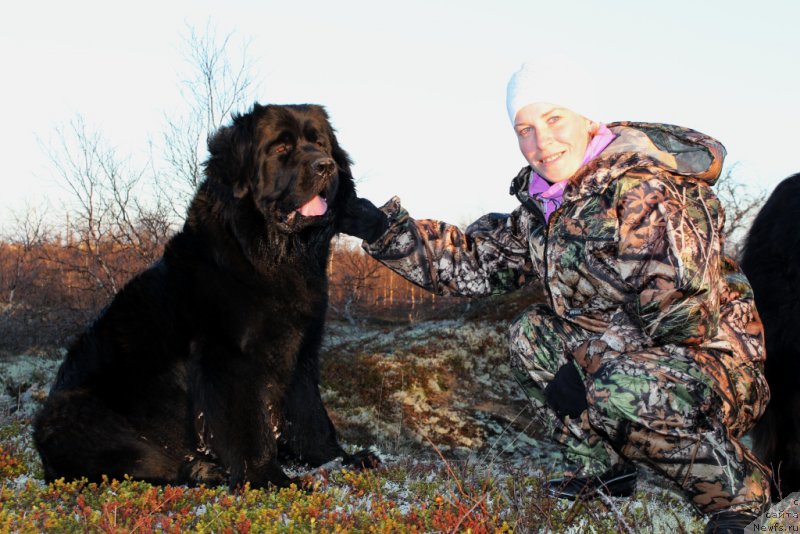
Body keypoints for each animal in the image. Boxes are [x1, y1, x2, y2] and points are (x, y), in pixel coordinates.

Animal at [32, 102, 376, 492]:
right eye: (281, 148)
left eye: (319, 143)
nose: (325, 166)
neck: (270, 256)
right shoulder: (229, 358)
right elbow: (249, 427)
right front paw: (268, 479)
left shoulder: (300, 351)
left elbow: (310, 416)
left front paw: (341, 459)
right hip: (78, 412)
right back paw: (202, 470)